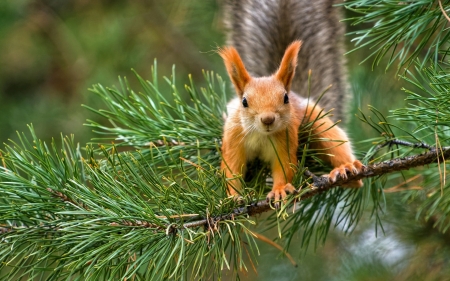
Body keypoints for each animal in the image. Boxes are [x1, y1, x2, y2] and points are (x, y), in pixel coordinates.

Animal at [218, 0, 362, 201]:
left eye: (285, 98)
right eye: (244, 102)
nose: (268, 119)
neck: (261, 134)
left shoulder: (285, 138)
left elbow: (285, 166)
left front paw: (279, 189)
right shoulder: (234, 137)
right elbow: (232, 169)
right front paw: (233, 197)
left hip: (317, 122)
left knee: (337, 147)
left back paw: (345, 169)